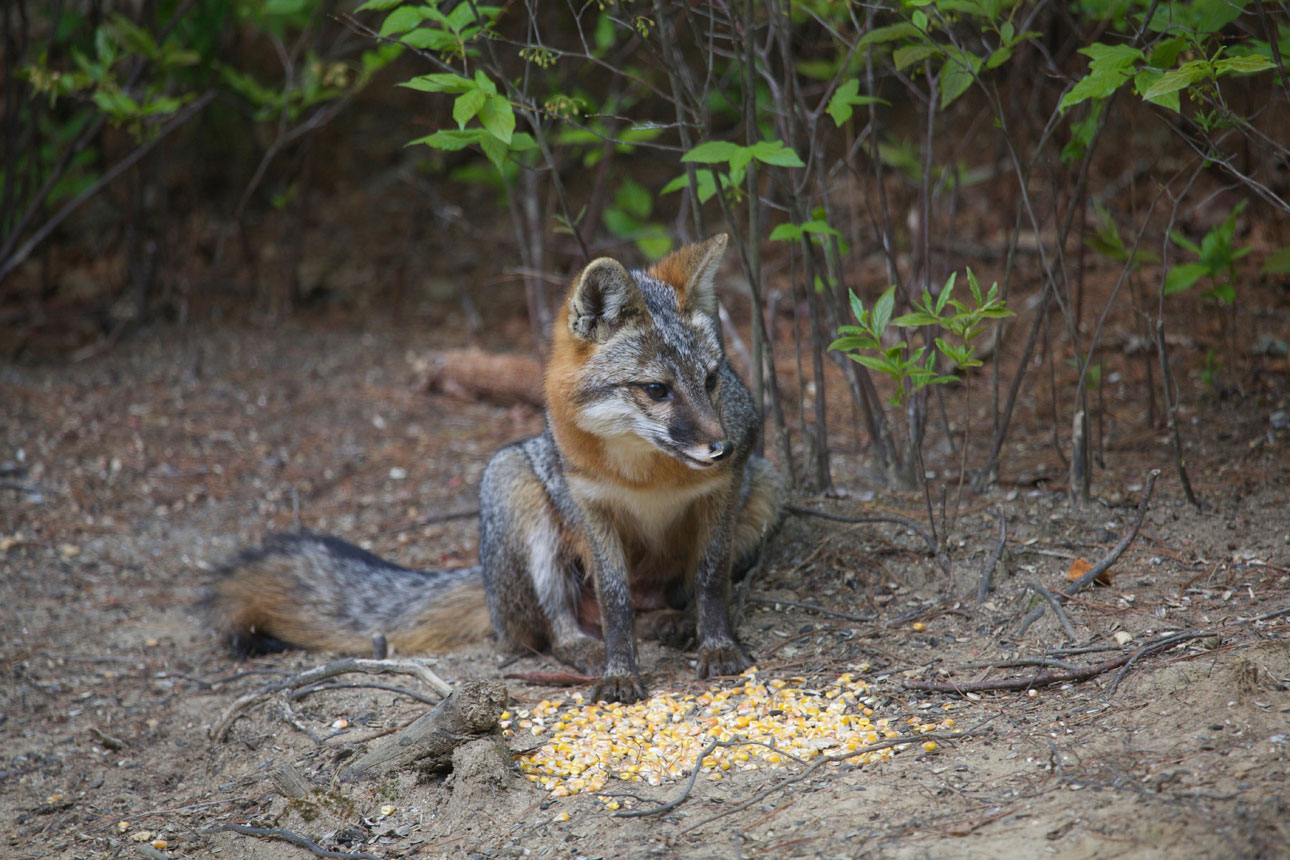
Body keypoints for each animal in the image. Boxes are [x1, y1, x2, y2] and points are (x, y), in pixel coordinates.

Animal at [206, 233, 779, 701]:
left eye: (711, 380)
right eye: (656, 390)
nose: (722, 447)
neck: (648, 475)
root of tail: (485, 585)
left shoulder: (722, 492)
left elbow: (710, 577)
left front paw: (717, 644)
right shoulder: (592, 506)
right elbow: (615, 601)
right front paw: (620, 671)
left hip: (765, 491)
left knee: (672, 595)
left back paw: (675, 622)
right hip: (513, 485)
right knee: (550, 628)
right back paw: (585, 647)